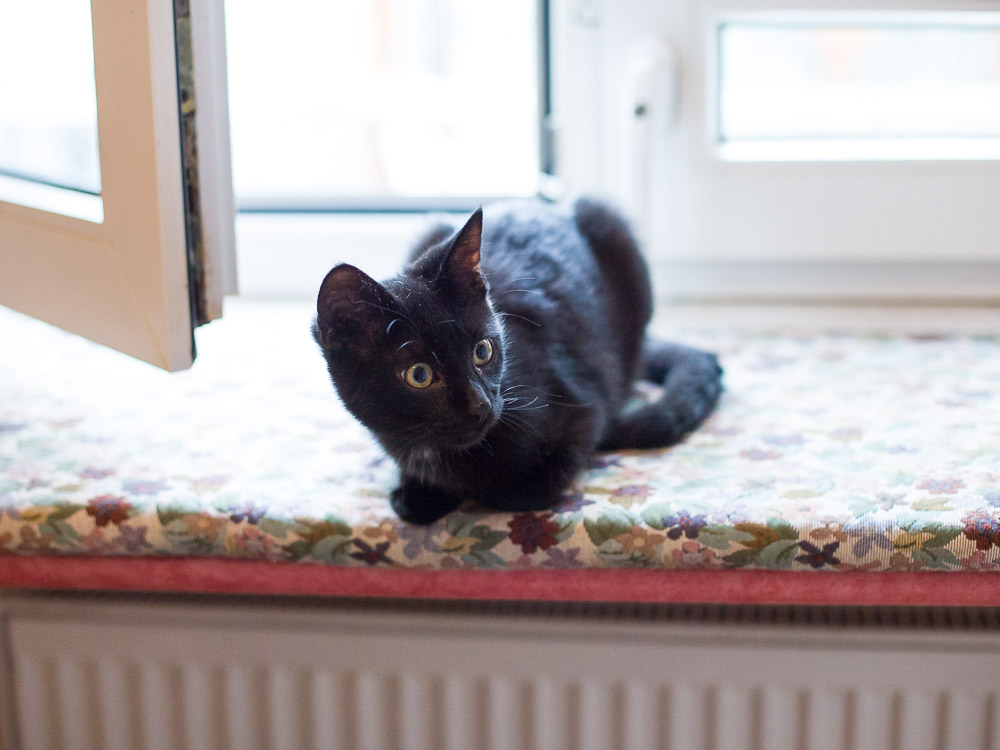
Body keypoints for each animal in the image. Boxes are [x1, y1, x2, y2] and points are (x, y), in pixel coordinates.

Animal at [312, 203, 720, 524]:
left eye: (483, 351)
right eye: (419, 375)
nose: (480, 405)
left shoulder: (586, 409)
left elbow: (522, 492)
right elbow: (412, 501)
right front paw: (415, 493)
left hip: (613, 228)